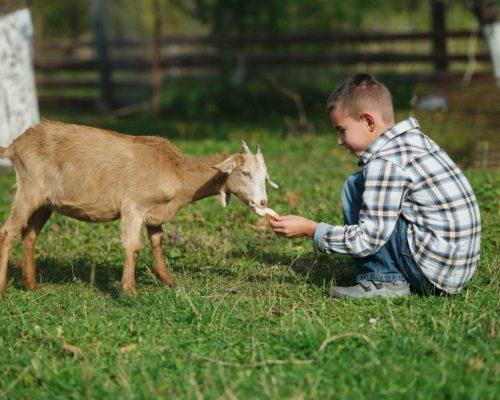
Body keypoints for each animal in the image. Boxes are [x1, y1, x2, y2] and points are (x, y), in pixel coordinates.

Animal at [0, 119, 278, 294]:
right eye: (245, 172)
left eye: (265, 176)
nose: (262, 203)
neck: (177, 171)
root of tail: (14, 145)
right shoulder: (132, 206)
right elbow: (133, 247)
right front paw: (129, 291)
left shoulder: (154, 213)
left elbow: (157, 242)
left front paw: (169, 281)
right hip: (29, 189)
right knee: (8, 232)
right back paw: (3, 290)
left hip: (45, 201)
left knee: (29, 234)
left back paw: (32, 286)